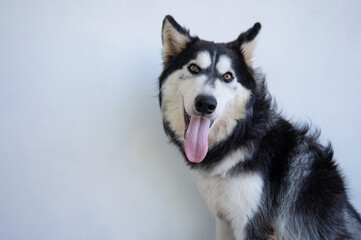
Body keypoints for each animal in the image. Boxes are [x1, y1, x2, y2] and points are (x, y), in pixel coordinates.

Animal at [157, 15, 360, 239]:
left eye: (227, 76)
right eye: (193, 68)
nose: (206, 104)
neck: (240, 137)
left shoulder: (253, 225)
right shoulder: (223, 218)